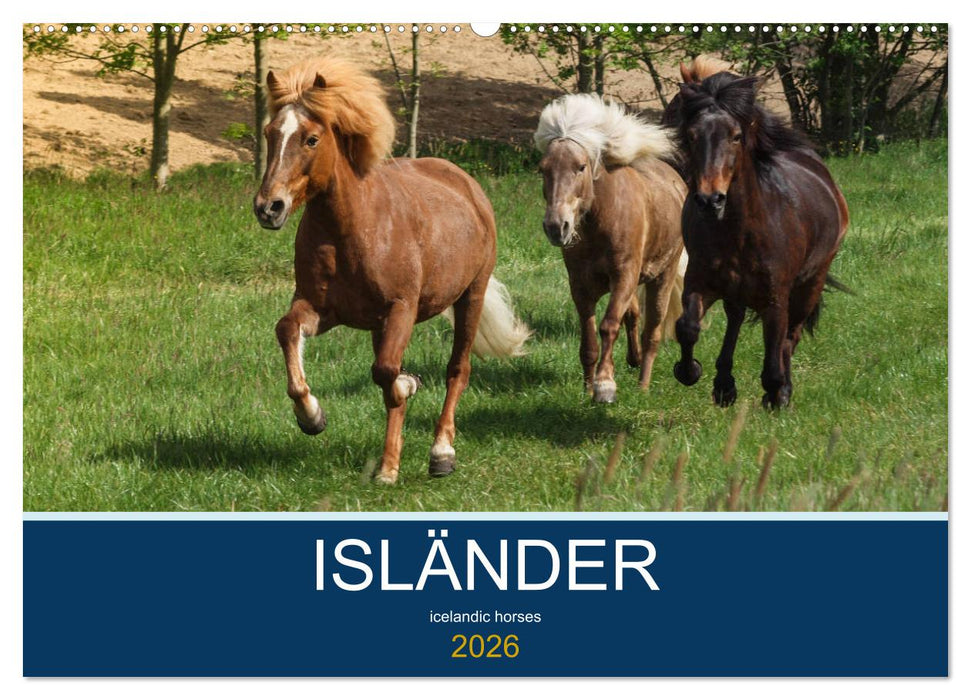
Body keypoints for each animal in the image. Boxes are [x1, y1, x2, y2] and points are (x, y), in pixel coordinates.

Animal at [253, 56, 531, 484]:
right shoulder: (322, 308)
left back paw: (440, 453)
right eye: (270, 133)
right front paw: (312, 417)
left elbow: (386, 374)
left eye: (311, 139)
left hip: (472, 295)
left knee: (458, 370)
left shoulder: (401, 309)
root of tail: (466, 184)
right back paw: (388, 463)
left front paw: (408, 387)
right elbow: (287, 331)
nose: (269, 207)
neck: (350, 231)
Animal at [534, 94, 688, 403]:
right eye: (543, 169)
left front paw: (605, 385)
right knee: (634, 316)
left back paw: (643, 384)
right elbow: (589, 338)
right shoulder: (580, 284)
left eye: (580, 166)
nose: (556, 226)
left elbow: (608, 325)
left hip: (662, 277)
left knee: (652, 331)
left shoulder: (624, 275)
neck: (600, 223)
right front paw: (587, 387)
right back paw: (633, 361)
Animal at [671, 72, 849, 408]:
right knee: (736, 320)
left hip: (811, 283)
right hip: (736, 291)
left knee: (790, 337)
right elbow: (687, 327)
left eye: (736, 136)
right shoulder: (700, 283)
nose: (710, 199)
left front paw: (776, 392)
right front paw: (690, 371)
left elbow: (775, 351)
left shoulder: (775, 297)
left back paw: (780, 390)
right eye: (691, 135)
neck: (740, 231)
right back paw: (724, 385)